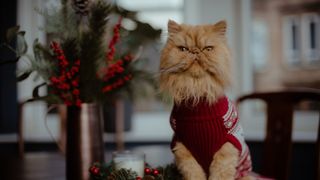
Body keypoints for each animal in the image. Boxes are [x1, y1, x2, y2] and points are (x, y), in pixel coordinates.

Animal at [159, 19, 254, 180]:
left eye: (208, 49)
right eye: (183, 49)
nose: (195, 51)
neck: (197, 92)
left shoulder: (226, 151)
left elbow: (219, 175)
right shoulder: (183, 151)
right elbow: (194, 174)